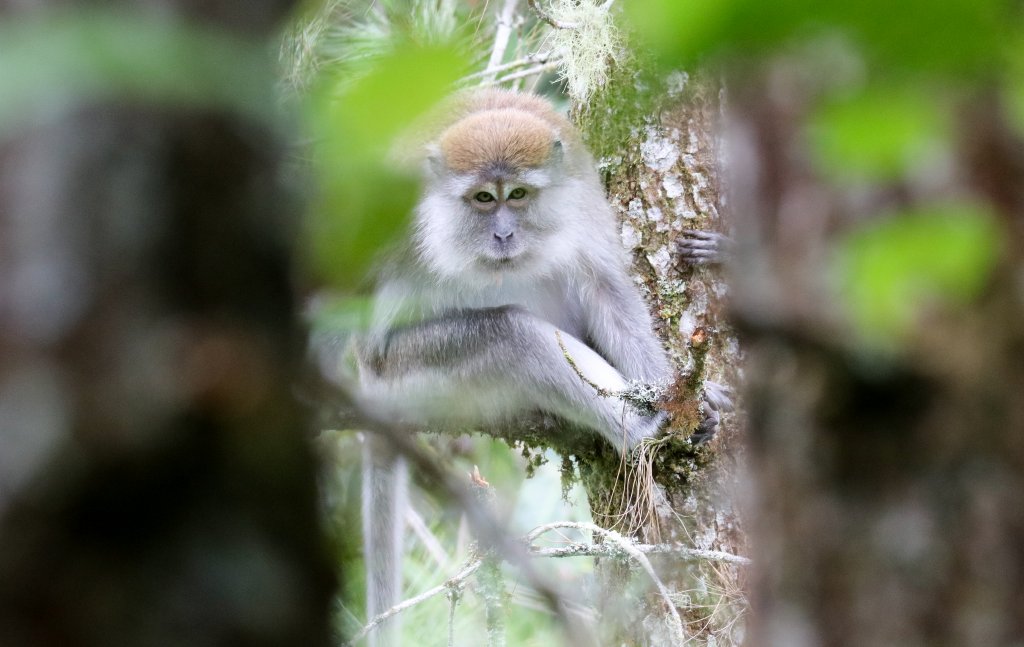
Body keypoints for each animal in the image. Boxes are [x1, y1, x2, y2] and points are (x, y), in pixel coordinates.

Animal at [316, 89, 730, 645]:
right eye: (482, 199)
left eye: (516, 195)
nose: (504, 234)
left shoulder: (578, 192)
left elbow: (605, 288)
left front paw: (672, 395)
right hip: (404, 374)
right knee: (512, 333)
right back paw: (641, 427)